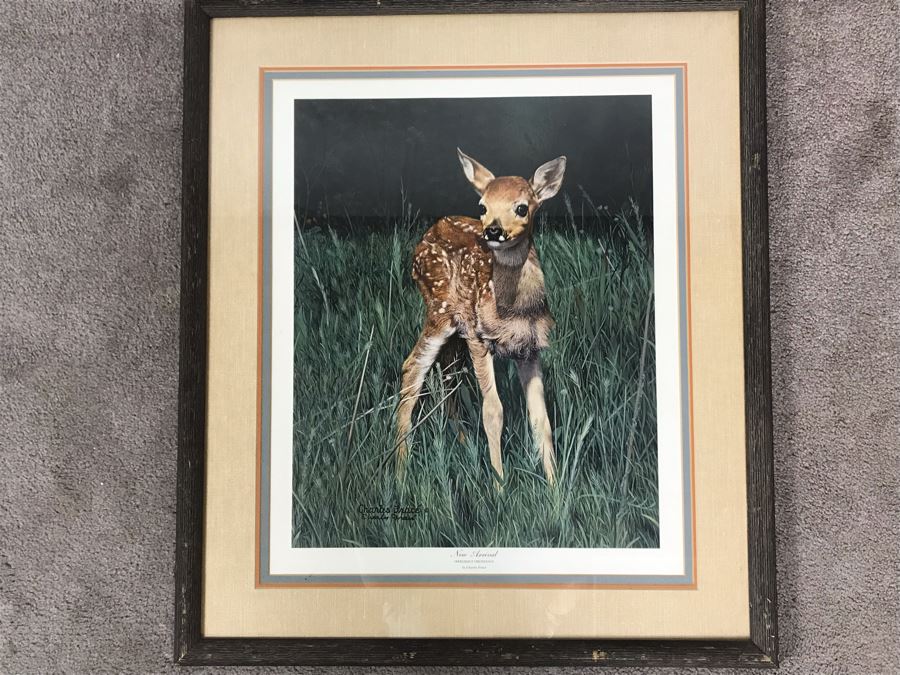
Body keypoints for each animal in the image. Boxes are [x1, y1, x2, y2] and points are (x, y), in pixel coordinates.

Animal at [395, 148, 567, 487]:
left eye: (522, 207)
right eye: (483, 207)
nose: (493, 230)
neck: (512, 309)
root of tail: (430, 232)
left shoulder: (530, 349)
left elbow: (540, 418)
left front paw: (555, 488)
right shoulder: (479, 337)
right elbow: (493, 411)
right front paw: (499, 485)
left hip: (454, 334)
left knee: (447, 374)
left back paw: (462, 443)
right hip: (440, 312)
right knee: (412, 369)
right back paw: (399, 472)